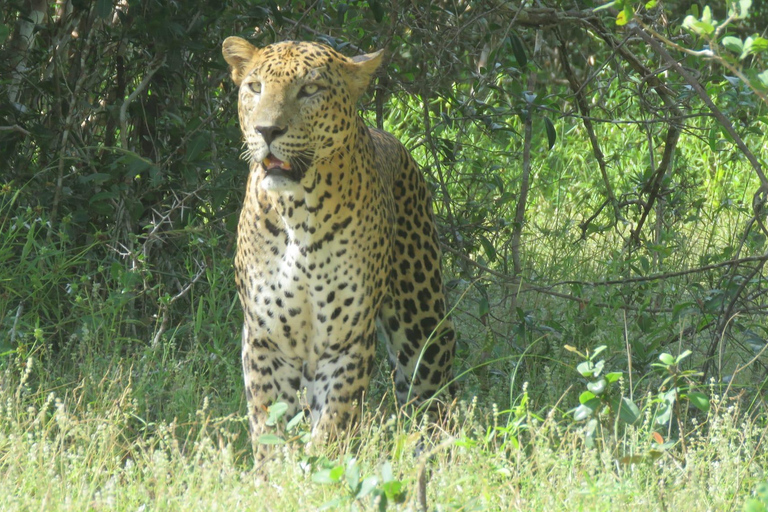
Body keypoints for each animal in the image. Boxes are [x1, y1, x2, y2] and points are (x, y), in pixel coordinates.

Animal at [220, 38, 456, 458]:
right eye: (255, 88)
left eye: (310, 89)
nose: (267, 130)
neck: (297, 212)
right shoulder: (266, 339)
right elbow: (269, 421)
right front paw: (276, 471)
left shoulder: (346, 340)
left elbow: (335, 421)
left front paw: (321, 465)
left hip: (422, 324)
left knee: (433, 397)